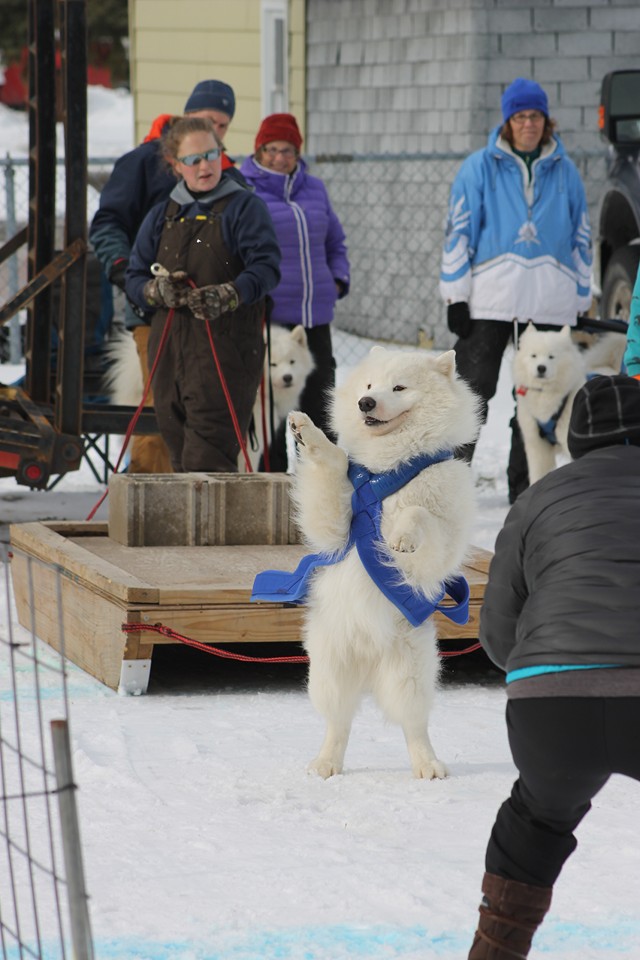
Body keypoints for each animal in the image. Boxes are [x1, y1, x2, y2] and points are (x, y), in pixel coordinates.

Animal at [282, 344, 480, 780]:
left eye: (399, 387)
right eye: (369, 386)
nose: (365, 403)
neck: (388, 466)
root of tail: (370, 660)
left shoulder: (438, 548)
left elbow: (419, 514)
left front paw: (401, 535)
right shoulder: (337, 527)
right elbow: (335, 464)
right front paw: (307, 433)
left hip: (409, 670)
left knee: (414, 724)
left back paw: (427, 765)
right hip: (329, 666)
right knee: (338, 721)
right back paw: (326, 764)